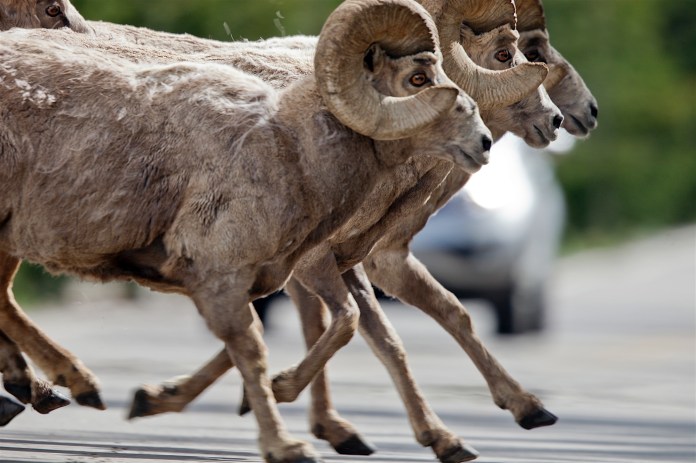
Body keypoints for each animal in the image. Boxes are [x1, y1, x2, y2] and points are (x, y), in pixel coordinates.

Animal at [0, 1, 566, 459]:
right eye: (419, 80)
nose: (561, 121)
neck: (293, 143)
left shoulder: (315, 265)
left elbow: (381, 329)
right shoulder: (285, 267)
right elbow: (323, 331)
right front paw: (286, 426)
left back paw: (47, 390)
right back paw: (60, 388)